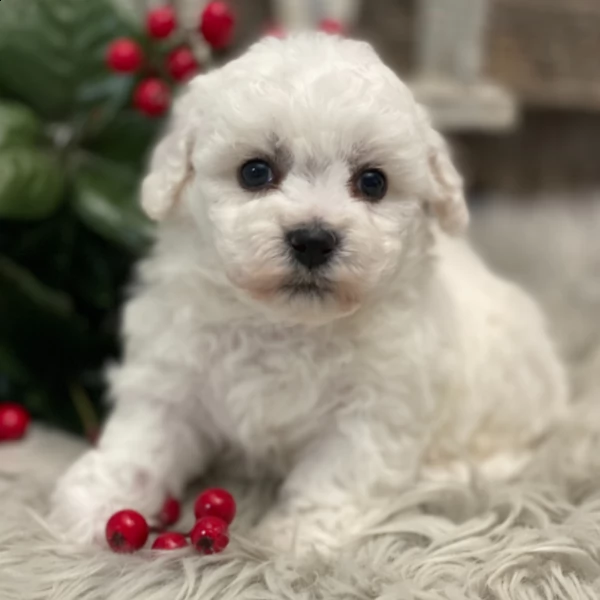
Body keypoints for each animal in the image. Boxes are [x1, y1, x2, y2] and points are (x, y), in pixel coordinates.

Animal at [50, 34, 568, 552]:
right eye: (255, 172)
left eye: (373, 182)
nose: (314, 239)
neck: (285, 325)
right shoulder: (172, 375)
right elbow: (143, 438)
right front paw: (97, 504)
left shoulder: (375, 411)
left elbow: (337, 474)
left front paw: (296, 536)